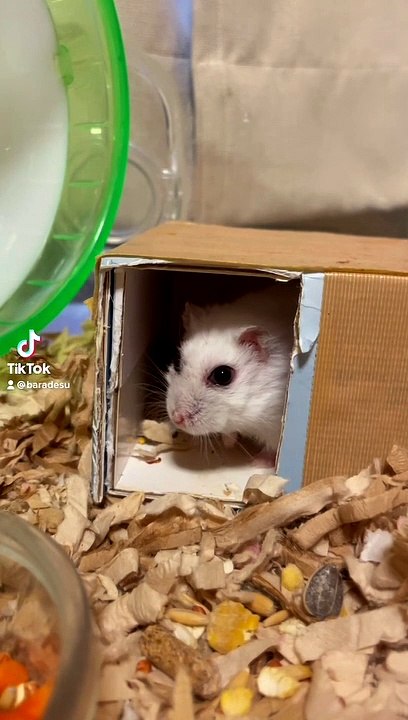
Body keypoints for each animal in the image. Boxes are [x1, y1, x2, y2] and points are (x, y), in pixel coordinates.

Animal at [165, 284, 298, 463]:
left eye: (223, 375)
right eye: (177, 362)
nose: (177, 418)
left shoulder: (274, 427)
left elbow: (271, 449)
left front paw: (256, 462)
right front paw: (228, 442)